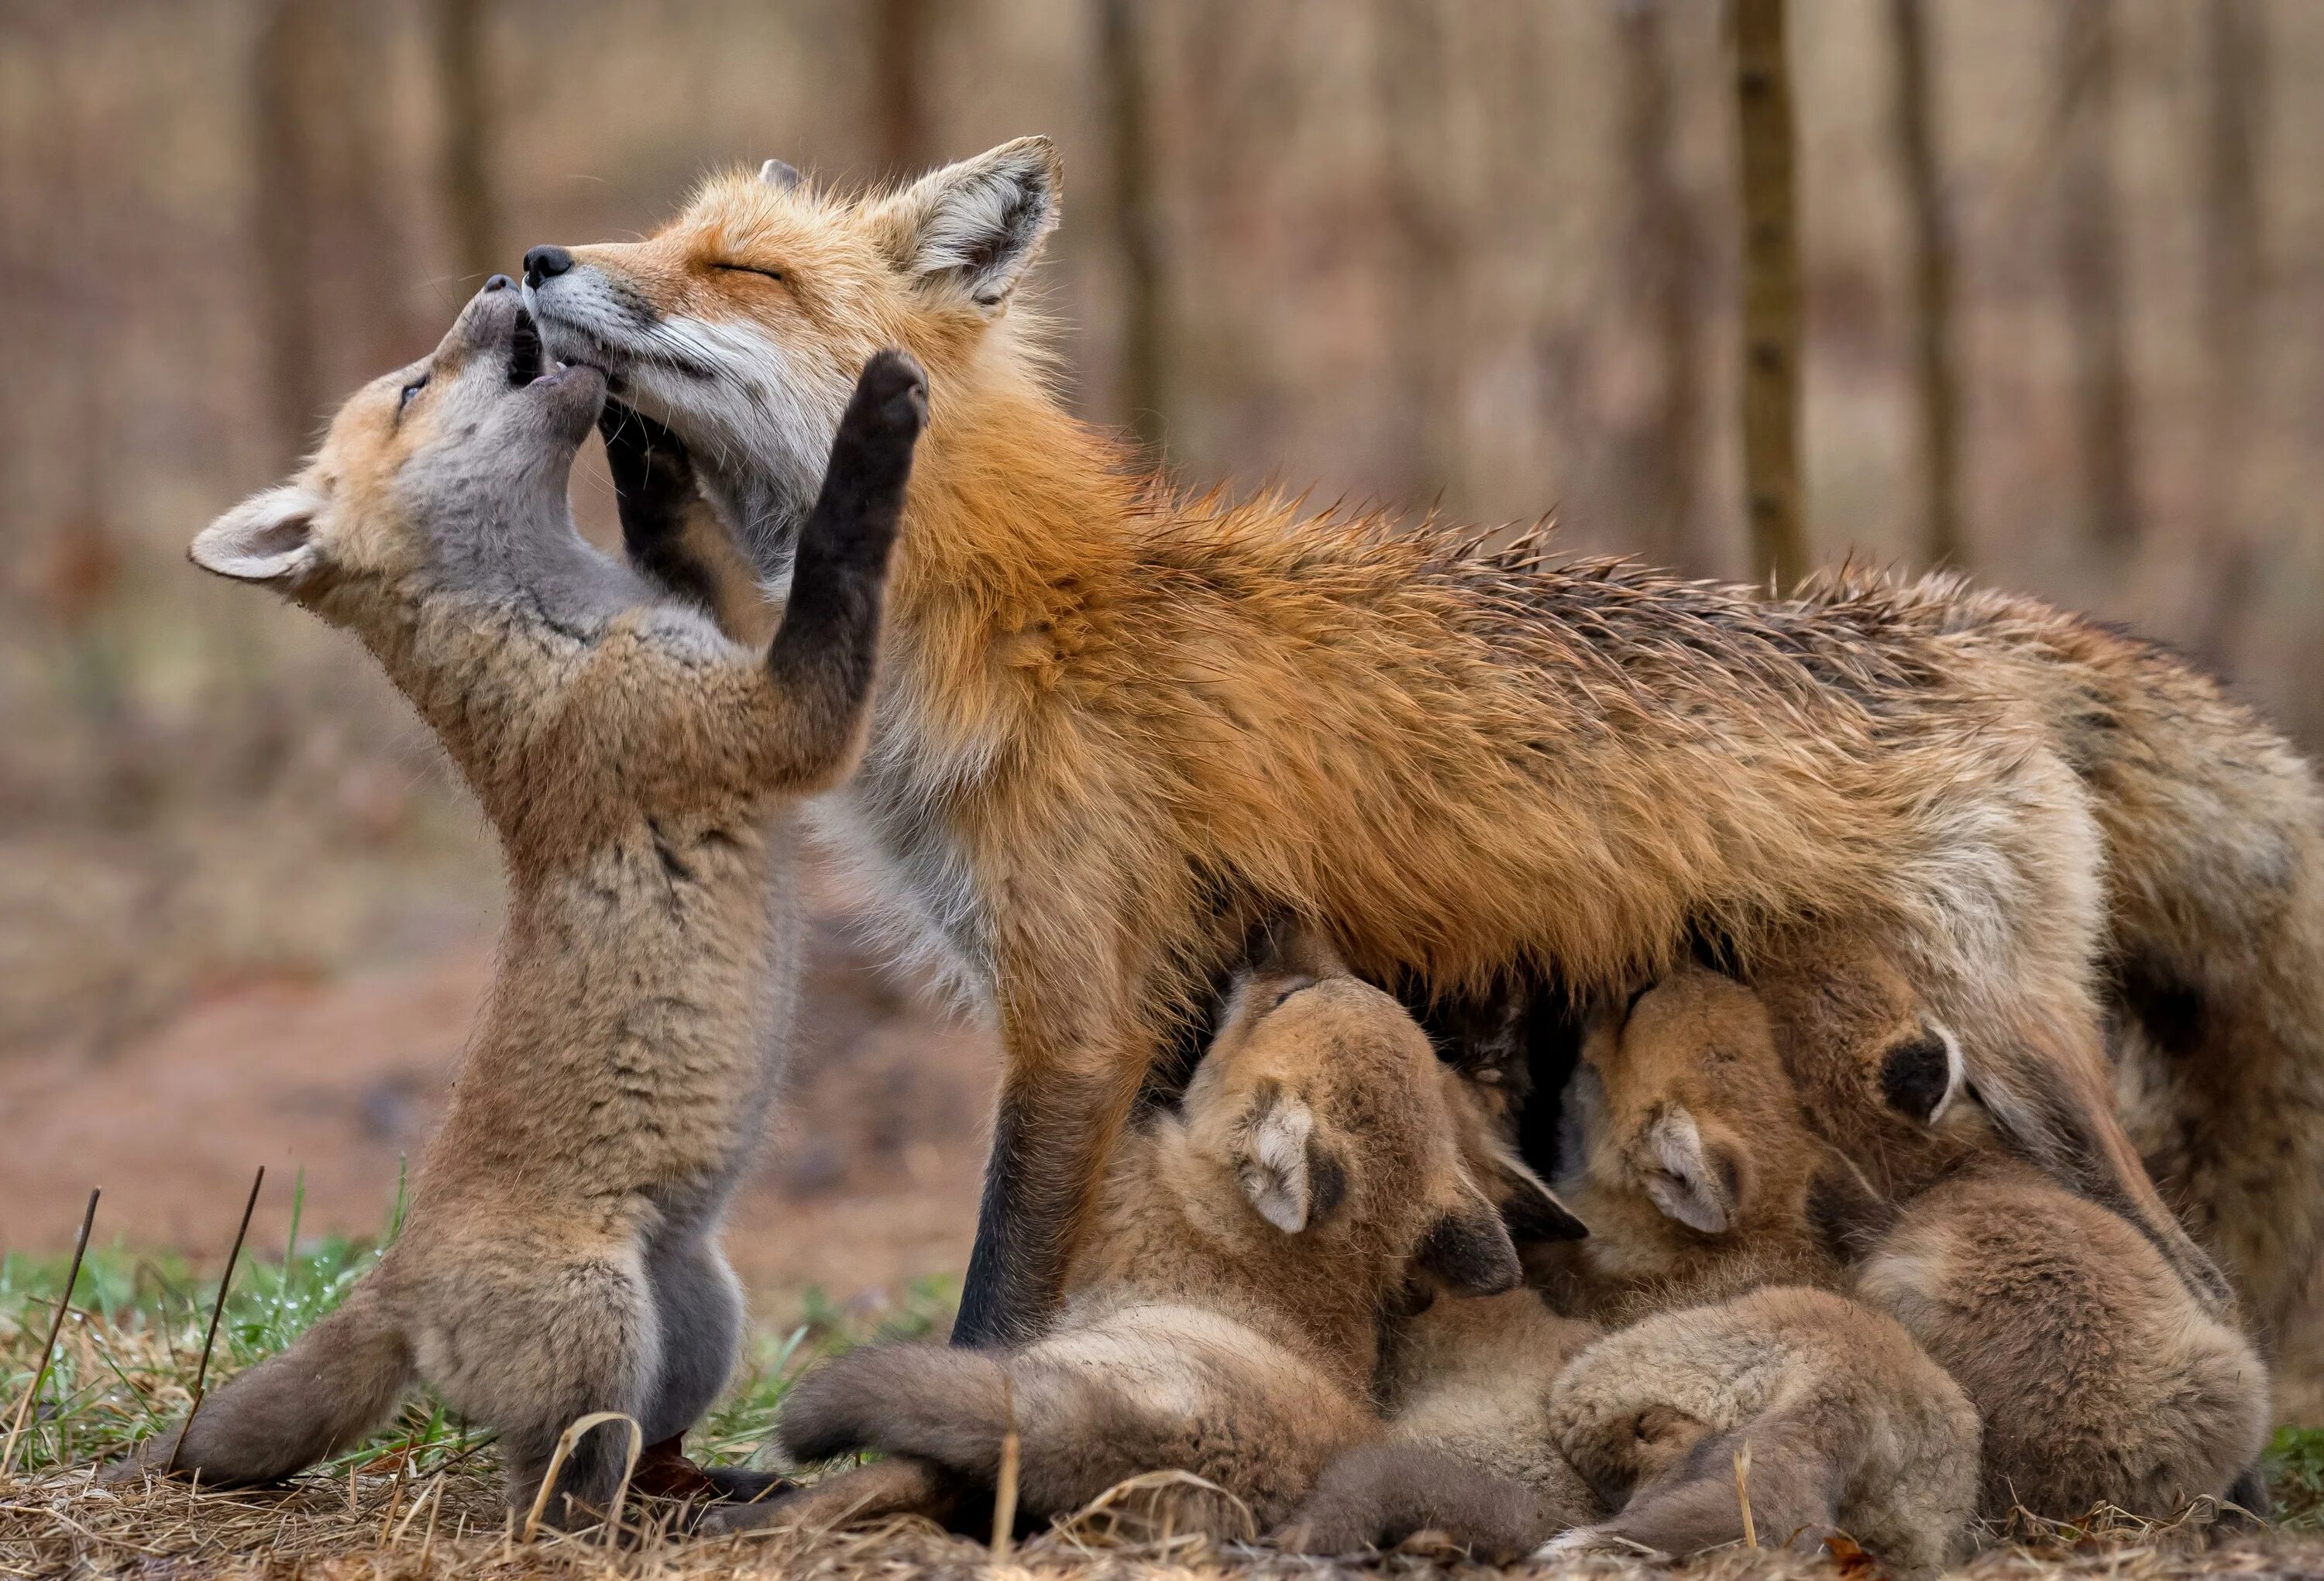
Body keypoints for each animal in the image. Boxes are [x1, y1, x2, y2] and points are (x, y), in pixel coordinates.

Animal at [528, 139, 2324, 1404]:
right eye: (666, 237)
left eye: (740, 266)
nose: (537, 256)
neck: (1014, 614)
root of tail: (1955, 623)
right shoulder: (1172, 1020)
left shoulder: (1078, 1017)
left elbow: (995, 1290)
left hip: (2011, 1053)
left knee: (2203, 1276)